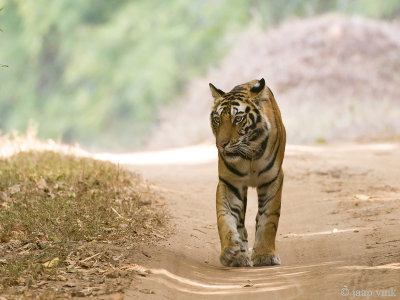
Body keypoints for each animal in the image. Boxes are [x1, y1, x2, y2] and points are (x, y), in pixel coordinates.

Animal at [208, 78, 286, 268]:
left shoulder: (272, 180)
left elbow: (269, 219)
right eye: (217, 119)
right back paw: (240, 255)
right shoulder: (230, 183)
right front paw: (230, 251)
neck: (249, 155)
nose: (221, 144)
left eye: (238, 118)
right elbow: (225, 218)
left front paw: (265, 255)